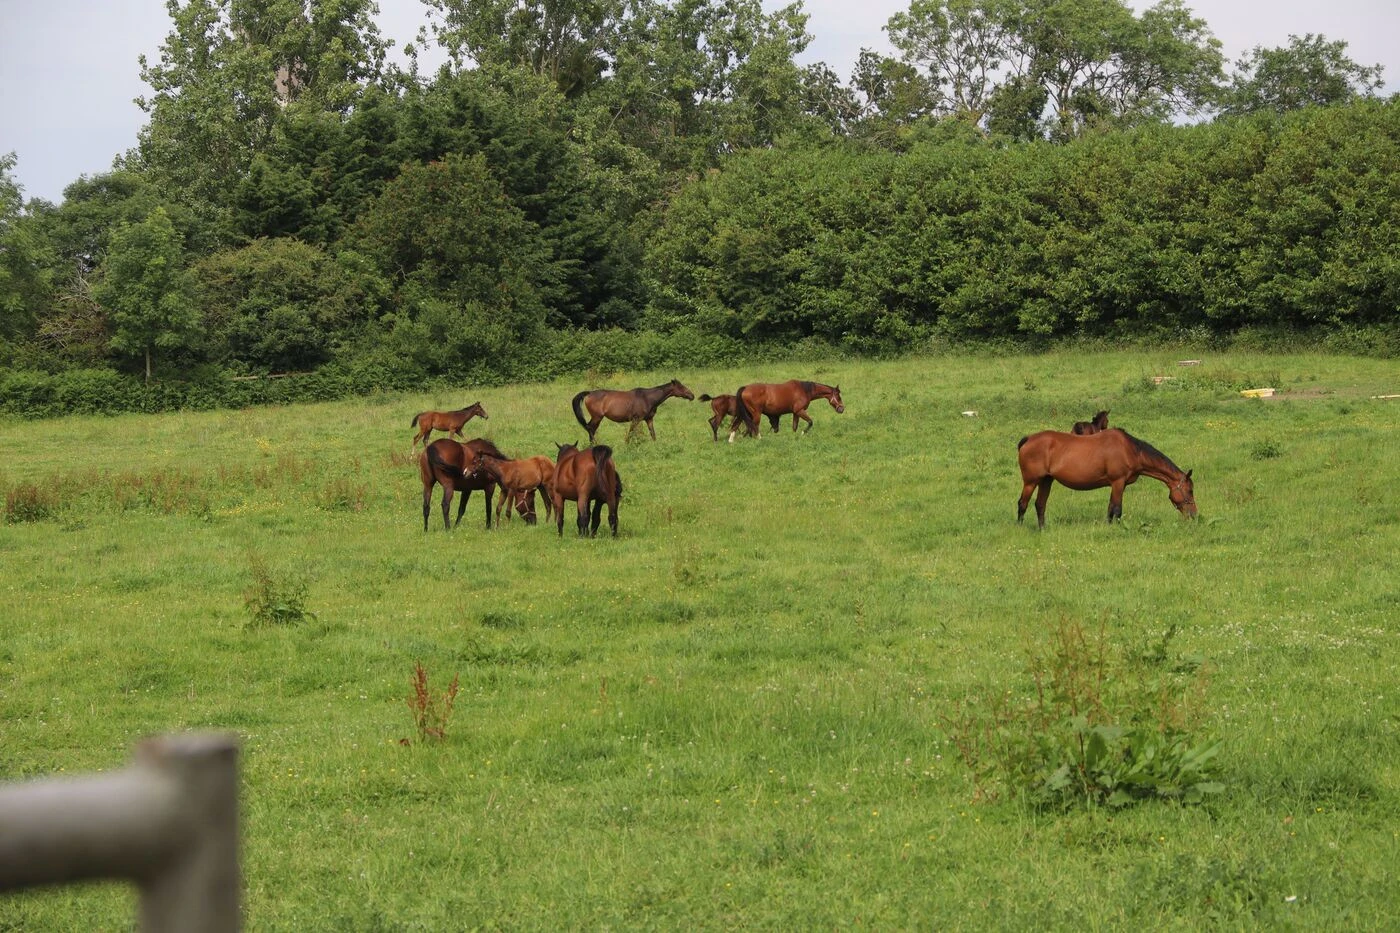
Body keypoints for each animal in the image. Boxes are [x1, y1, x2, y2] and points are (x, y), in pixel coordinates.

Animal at [1016, 428, 1196, 529]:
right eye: (1190, 490)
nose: (1194, 515)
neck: (1130, 450)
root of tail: (1028, 439)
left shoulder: (1117, 485)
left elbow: (1110, 509)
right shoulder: (1118, 482)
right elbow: (1117, 509)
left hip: (1046, 480)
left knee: (1040, 504)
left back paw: (1043, 529)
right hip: (1030, 482)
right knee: (1022, 504)